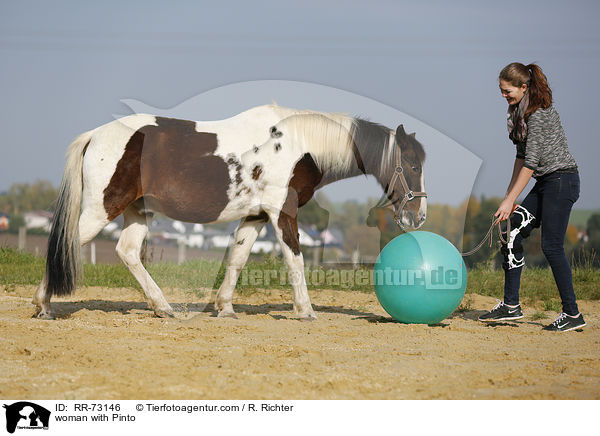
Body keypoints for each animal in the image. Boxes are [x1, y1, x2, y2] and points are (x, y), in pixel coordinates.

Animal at [34, 102, 426, 320]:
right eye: (412, 165)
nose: (418, 216)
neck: (298, 146)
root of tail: (95, 135)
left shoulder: (255, 216)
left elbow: (237, 259)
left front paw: (225, 307)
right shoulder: (282, 213)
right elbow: (295, 260)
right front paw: (306, 311)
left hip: (137, 211)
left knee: (127, 252)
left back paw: (163, 307)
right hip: (102, 208)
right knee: (66, 244)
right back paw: (44, 306)